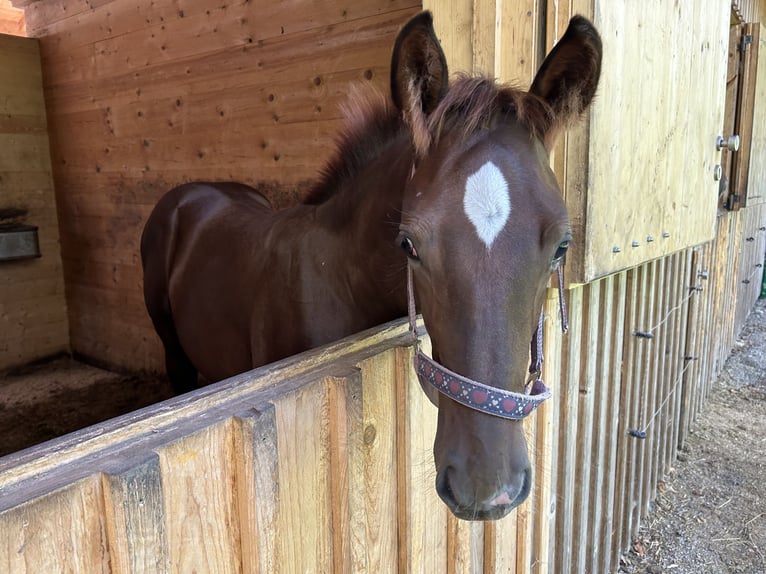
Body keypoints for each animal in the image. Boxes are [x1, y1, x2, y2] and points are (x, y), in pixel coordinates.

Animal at [142, 11, 600, 524]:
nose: (487, 491)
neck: (338, 278)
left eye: (561, 246)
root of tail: (190, 194)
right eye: (409, 245)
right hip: (172, 348)